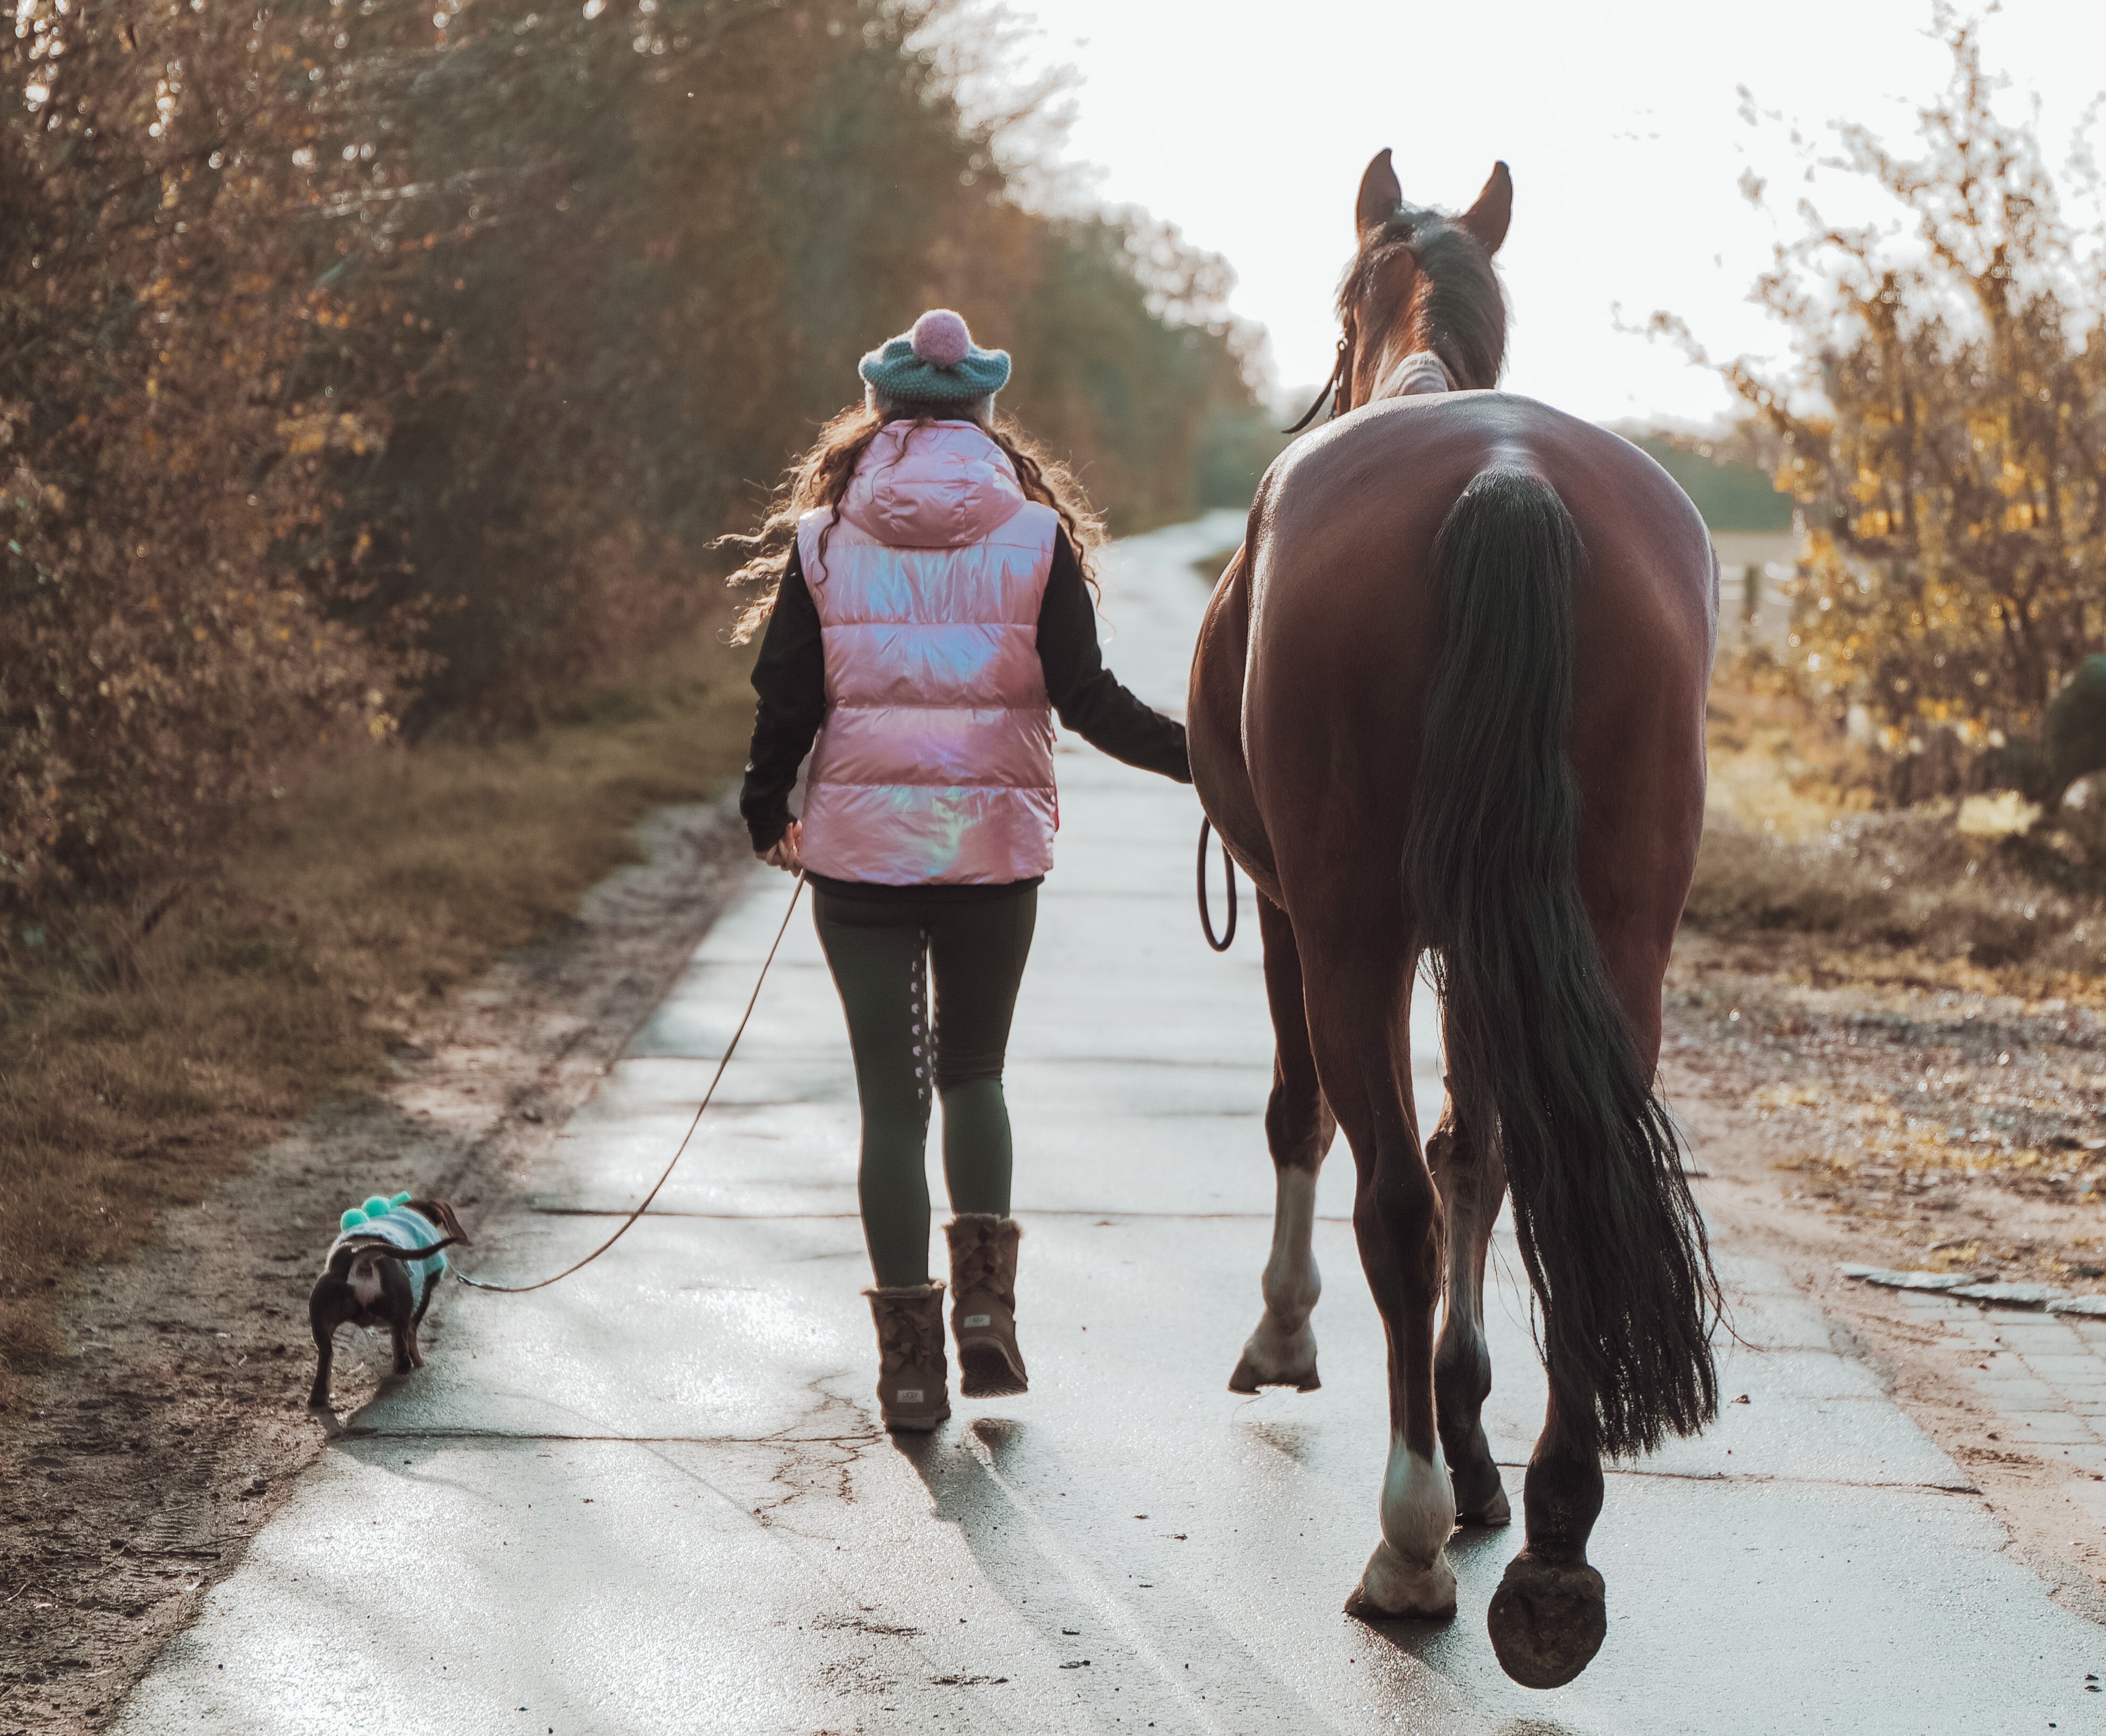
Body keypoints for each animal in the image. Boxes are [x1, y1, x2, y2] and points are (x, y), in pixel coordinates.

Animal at [1187, 150, 1722, 1689]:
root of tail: (1505, 481)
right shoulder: (1499, 934)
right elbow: (1478, 1146)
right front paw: (1484, 1449)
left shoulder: (1297, 915)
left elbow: (1313, 1122)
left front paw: (1286, 1332)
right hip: (1618, 934)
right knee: (1550, 1178)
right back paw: (1551, 1545)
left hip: (1354, 932)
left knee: (1394, 1205)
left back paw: (1408, 1539)